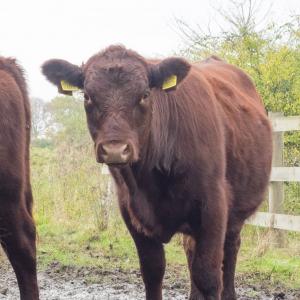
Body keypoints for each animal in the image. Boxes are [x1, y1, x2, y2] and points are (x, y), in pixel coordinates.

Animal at [42, 45, 274, 300]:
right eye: (87, 96)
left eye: (144, 94)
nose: (115, 149)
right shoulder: (131, 212)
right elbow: (153, 272)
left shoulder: (213, 207)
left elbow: (209, 276)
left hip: (235, 214)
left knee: (229, 253)